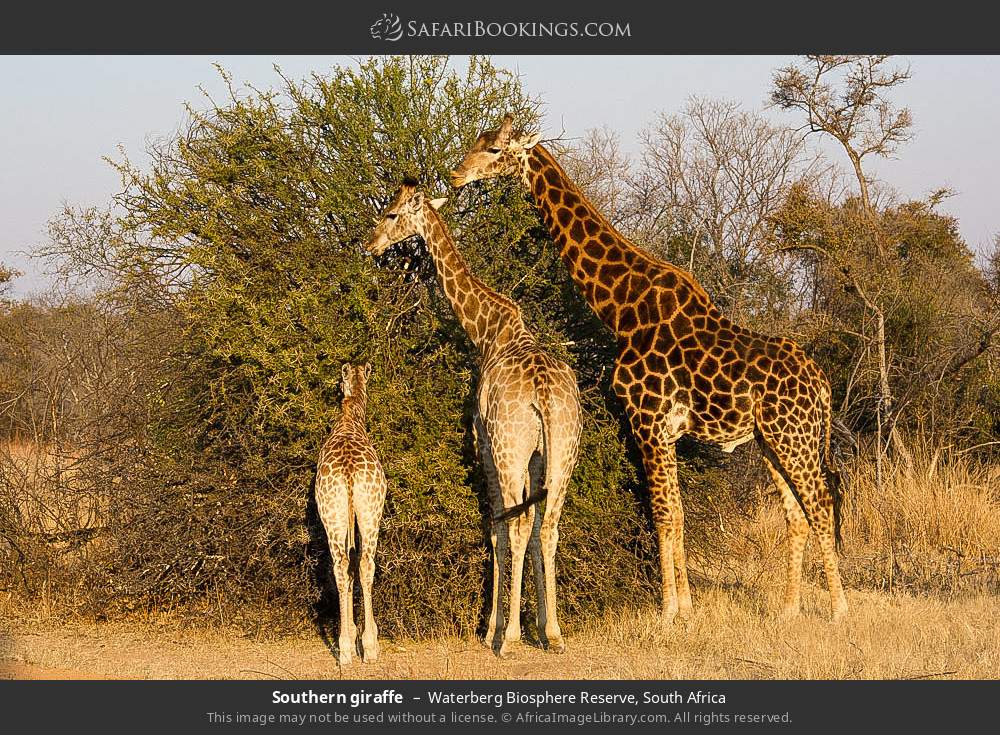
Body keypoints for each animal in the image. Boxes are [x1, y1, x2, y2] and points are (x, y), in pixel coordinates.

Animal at [364, 180, 582, 657]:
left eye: (392, 214)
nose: (371, 245)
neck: (487, 331)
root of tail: (542, 394)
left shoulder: (483, 441)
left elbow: (497, 528)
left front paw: (492, 629)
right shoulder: (536, 457)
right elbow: (531, 530)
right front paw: (540, 626)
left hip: (507, 450)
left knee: (515, 525)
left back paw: (509, 638)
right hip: (564, 452)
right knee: (548, 526)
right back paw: (556, 634)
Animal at [451, 115, 848, 624]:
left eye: (497, 150)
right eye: (480, 142)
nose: (456, 175)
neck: (623, 309)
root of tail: (823, 386)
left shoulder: (647, 421)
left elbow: (662, 513)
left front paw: (666, 612)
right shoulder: (667, 431)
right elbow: (677, 513)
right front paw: (687, 608)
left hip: (792, 436)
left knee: (820, 503)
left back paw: (838, 609)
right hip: (773, 441)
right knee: (797, 513)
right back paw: (788, 609)